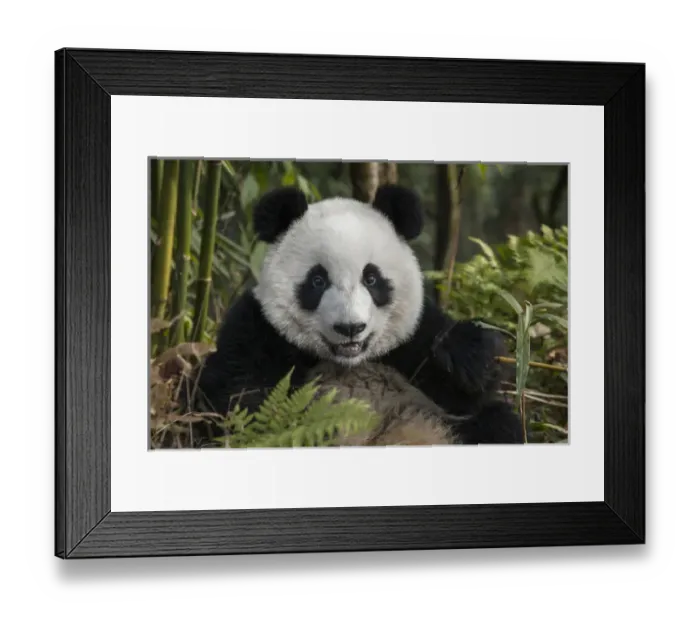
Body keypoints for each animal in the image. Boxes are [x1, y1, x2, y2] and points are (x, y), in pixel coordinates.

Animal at [185, 184, 524, 447]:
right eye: (317, 281)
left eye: (371, 278)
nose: (350, 328)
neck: (349, 360)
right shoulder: (259, 328)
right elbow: (236, 398)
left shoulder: (412, 338)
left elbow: (463, 393)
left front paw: (468, 354)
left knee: (498, 424)